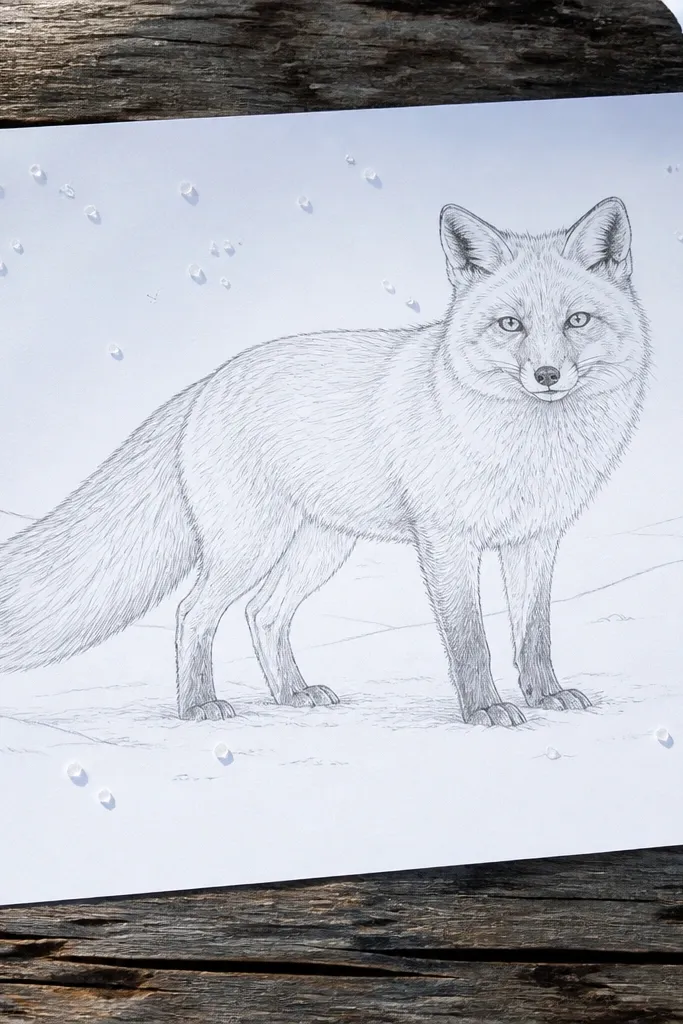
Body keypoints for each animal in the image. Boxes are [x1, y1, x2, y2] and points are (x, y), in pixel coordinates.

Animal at [0, 197, 649, 727]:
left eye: (577, 320)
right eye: (510, 324)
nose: (547, 375)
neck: (529, 448)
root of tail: (209, 382)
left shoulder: (535, 540)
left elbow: (533, 634)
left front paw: (546, 695)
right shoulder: (446, 541)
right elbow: (471, 640)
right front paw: (484, 710)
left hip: (319, 548)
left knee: (262, 614)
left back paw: (292, 694)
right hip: (249, 546)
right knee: (192, 613)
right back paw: (198, 706)